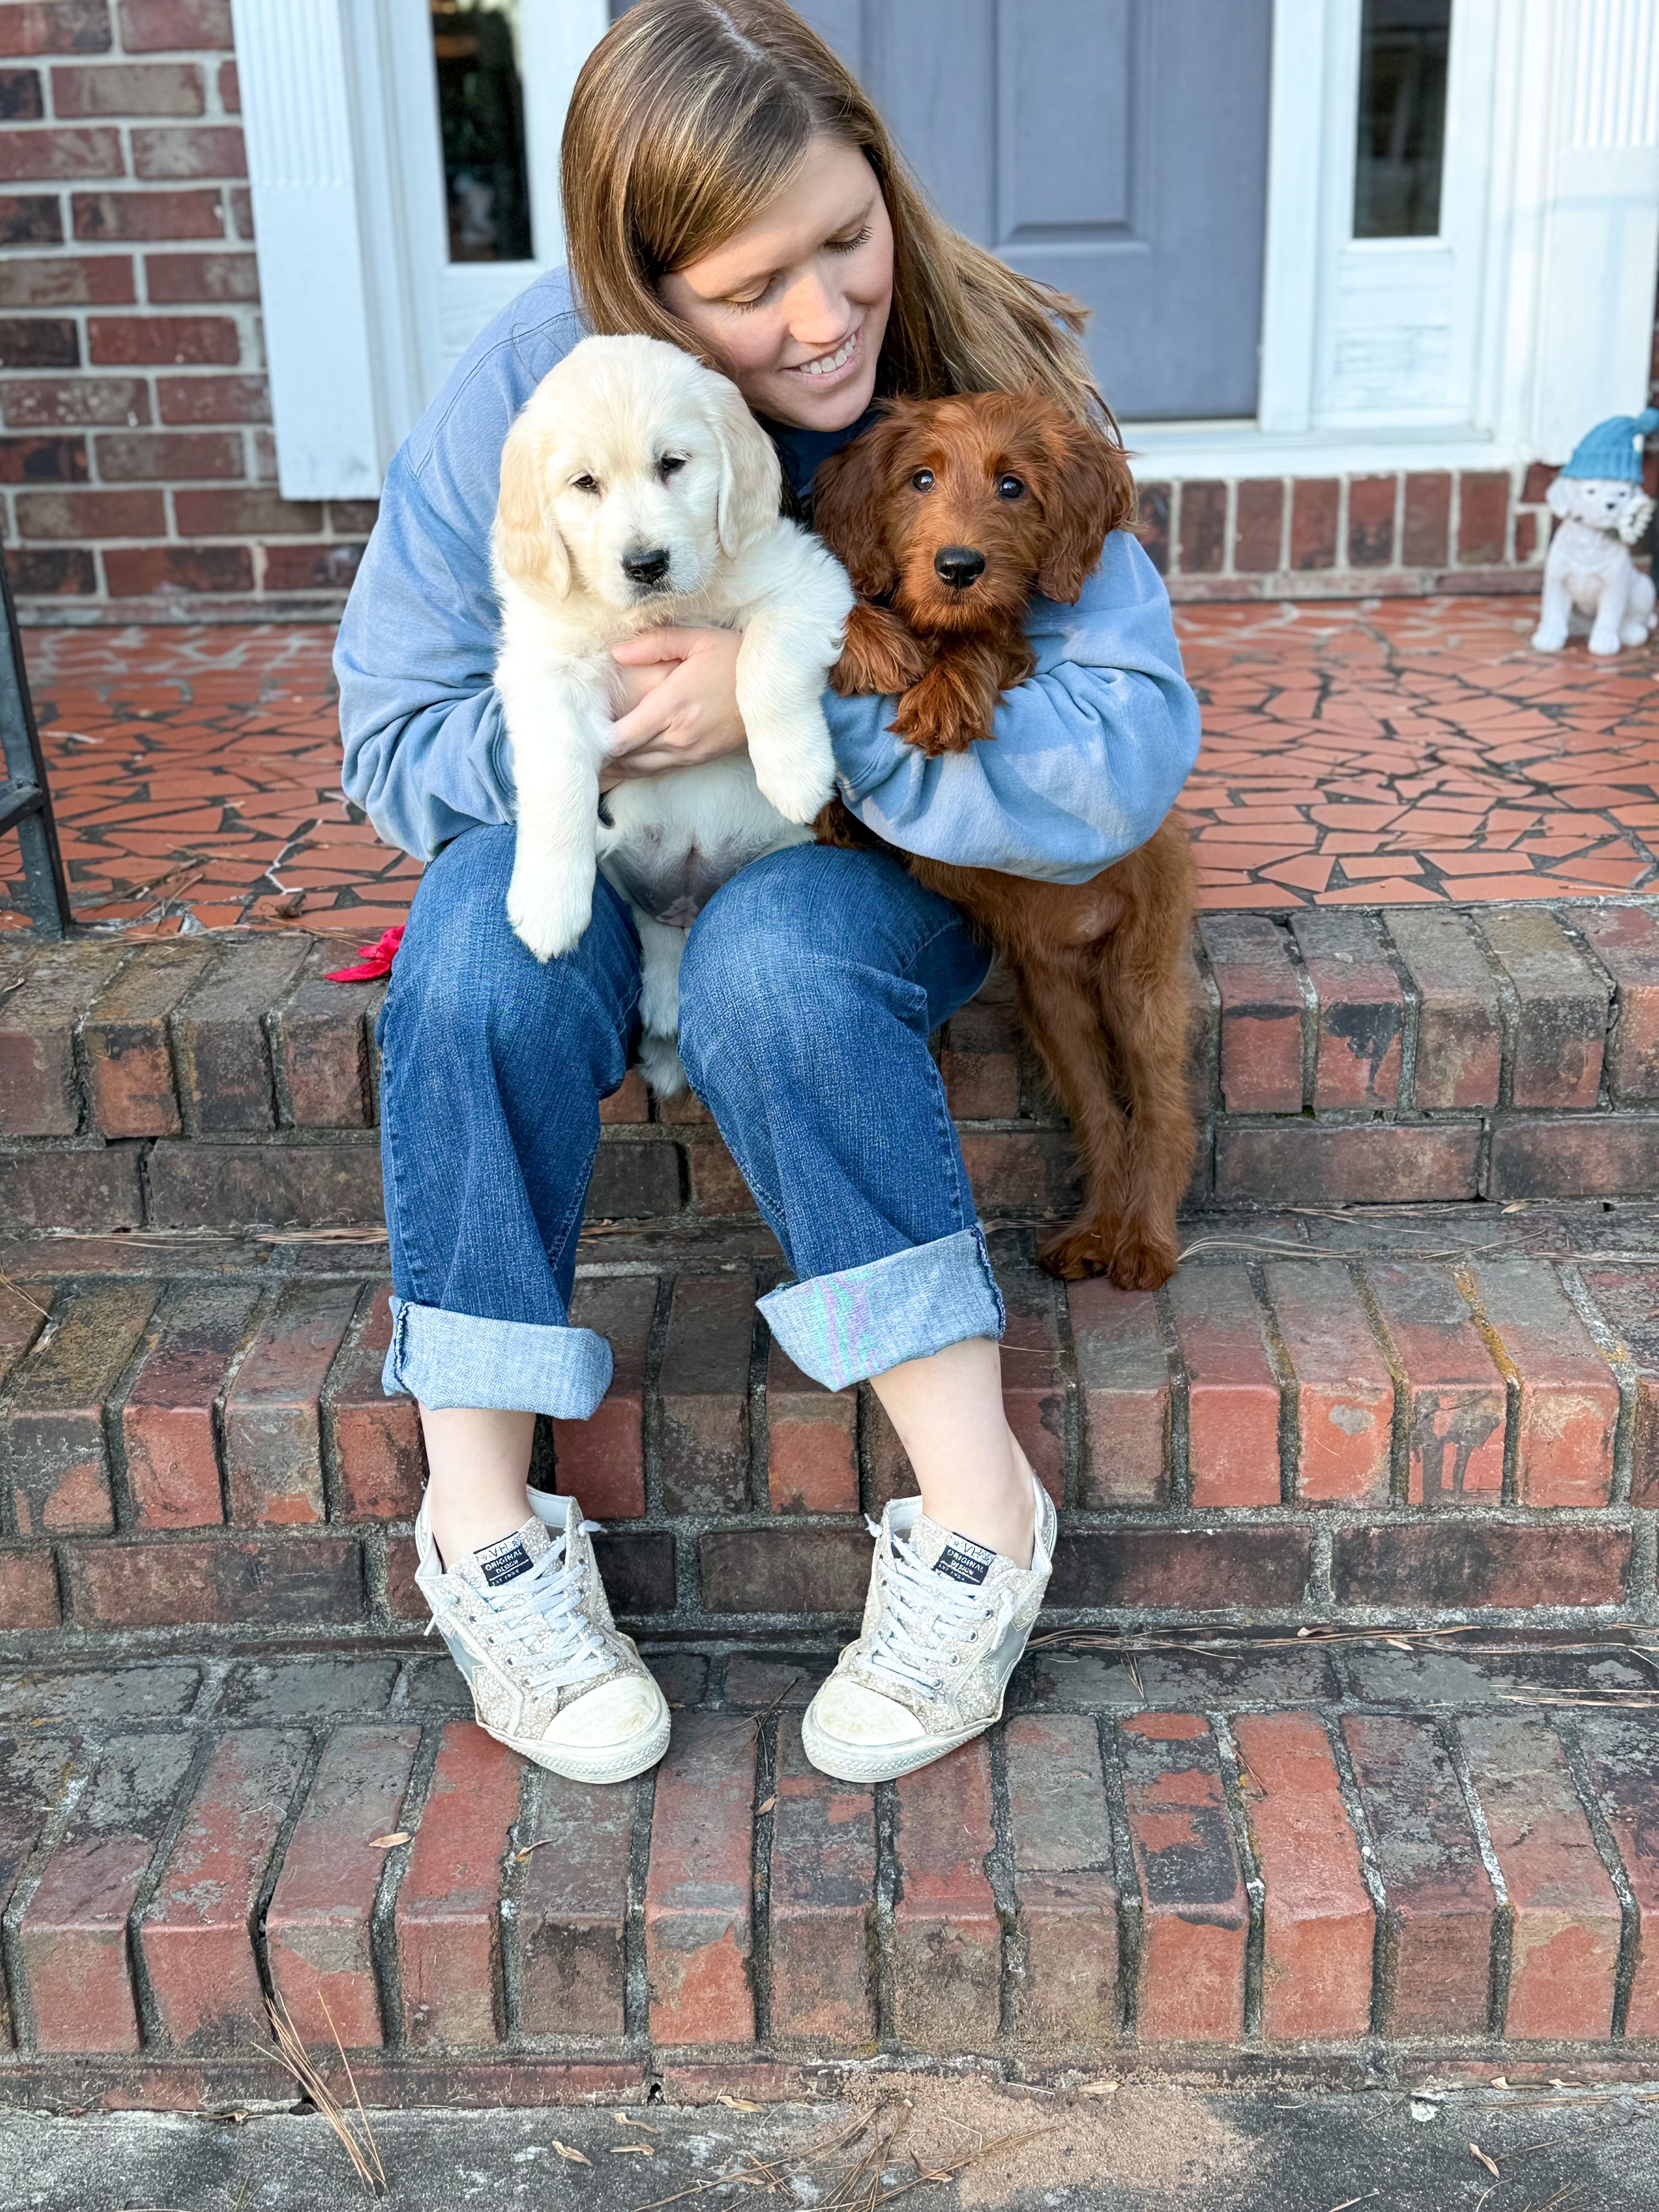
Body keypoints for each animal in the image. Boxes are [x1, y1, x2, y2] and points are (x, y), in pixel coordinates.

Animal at [491, 333, 853, 1092]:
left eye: (672, 465)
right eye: (585, 484)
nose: (646, 563)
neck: (659, 611)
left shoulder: (805, 581)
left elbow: (763, 660)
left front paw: (794, 771)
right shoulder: (542, 669)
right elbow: (557, 778)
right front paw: (548, 903)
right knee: (655, 931)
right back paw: (661, 1011)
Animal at [810, 391, 1196, 1290]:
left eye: (1013, 487)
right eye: (919, 480)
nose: (959, 568)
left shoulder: (1012, 643)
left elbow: (987, 640)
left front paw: (943, 691)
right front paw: (871, 643)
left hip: (1141, 976)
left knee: (1162, 1113)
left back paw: (1145, 1241)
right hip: (1054, 1006)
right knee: (1101, 1117)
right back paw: (1095, 1231)